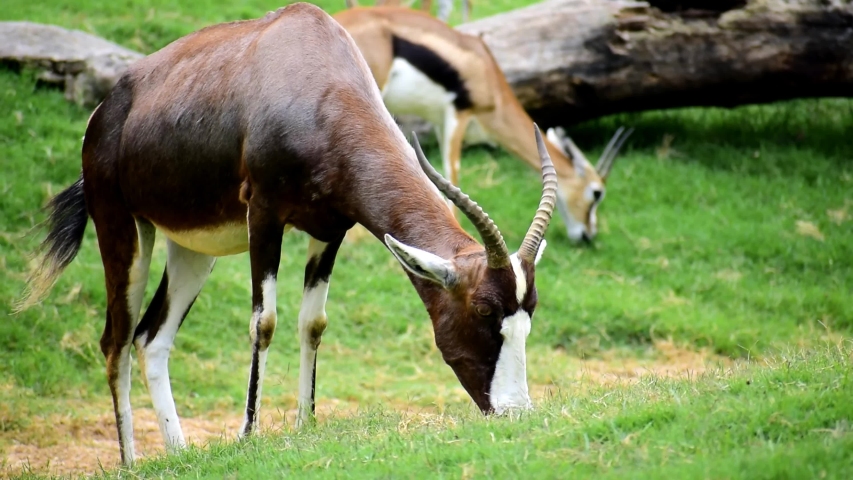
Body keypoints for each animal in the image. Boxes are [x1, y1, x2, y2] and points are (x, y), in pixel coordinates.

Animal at [18, 2, 560, 468]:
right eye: (485, 311)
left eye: (530, 311)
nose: (515, 411)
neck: (312, 70)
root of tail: (107, 110)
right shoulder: (264, 216)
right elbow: (265, 321)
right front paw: (248, 434)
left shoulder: (330, 230)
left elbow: (312, 323)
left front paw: (306, 425)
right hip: (121, 226)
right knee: (115, 339)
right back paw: (131, 462)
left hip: (191, 248)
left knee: (151, 337)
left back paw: (179, 454)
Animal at [332, 5, 632, 242]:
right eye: (597, 193)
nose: (589, 235)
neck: (488, 76)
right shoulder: (458, 115)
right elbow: (452, 174)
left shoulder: (440, 123)